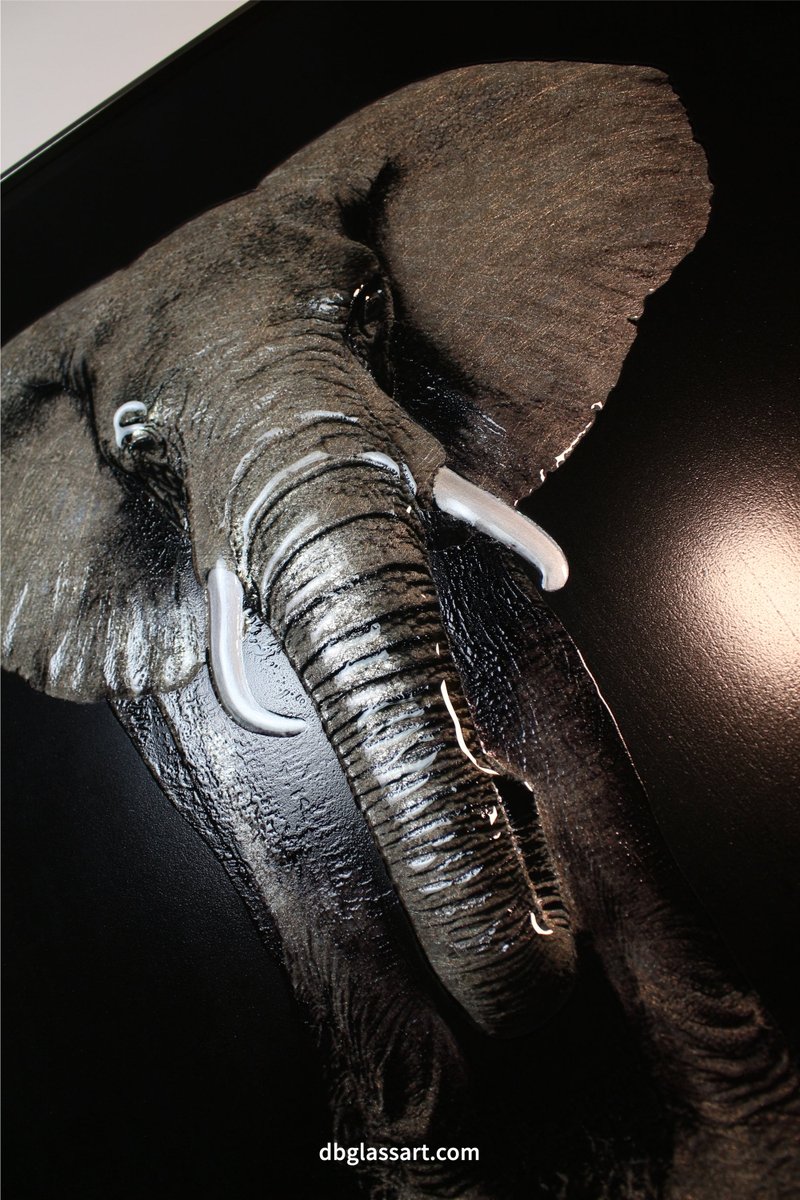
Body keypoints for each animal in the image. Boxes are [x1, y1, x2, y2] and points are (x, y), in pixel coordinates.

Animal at [3, 61, 798, 1198]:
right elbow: (298, 863)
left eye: (370, 305)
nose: (513, 816)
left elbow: (566, 733)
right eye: (136, 438)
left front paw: (741, 1159)